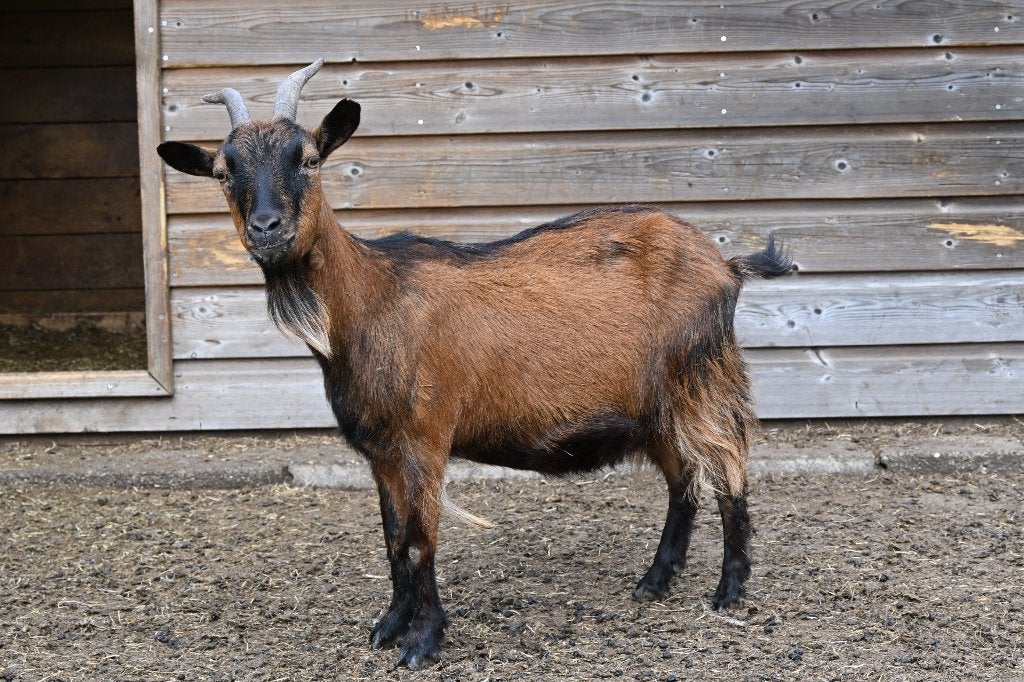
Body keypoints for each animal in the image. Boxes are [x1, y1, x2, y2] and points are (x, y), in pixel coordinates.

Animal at [157, 59, 793, 670]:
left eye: (309, 159)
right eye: (223, 171)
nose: (267, 229)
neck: (371, 299)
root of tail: (727, 265)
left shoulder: (425, 438)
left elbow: (420, 539)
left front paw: (423, 642)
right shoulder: (380, 450)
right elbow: (393, 538)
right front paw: (388, 628)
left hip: (701, 377)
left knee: (728, 470)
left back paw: (728, 592)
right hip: (654, 405)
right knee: (683, 479)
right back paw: (655, 581)